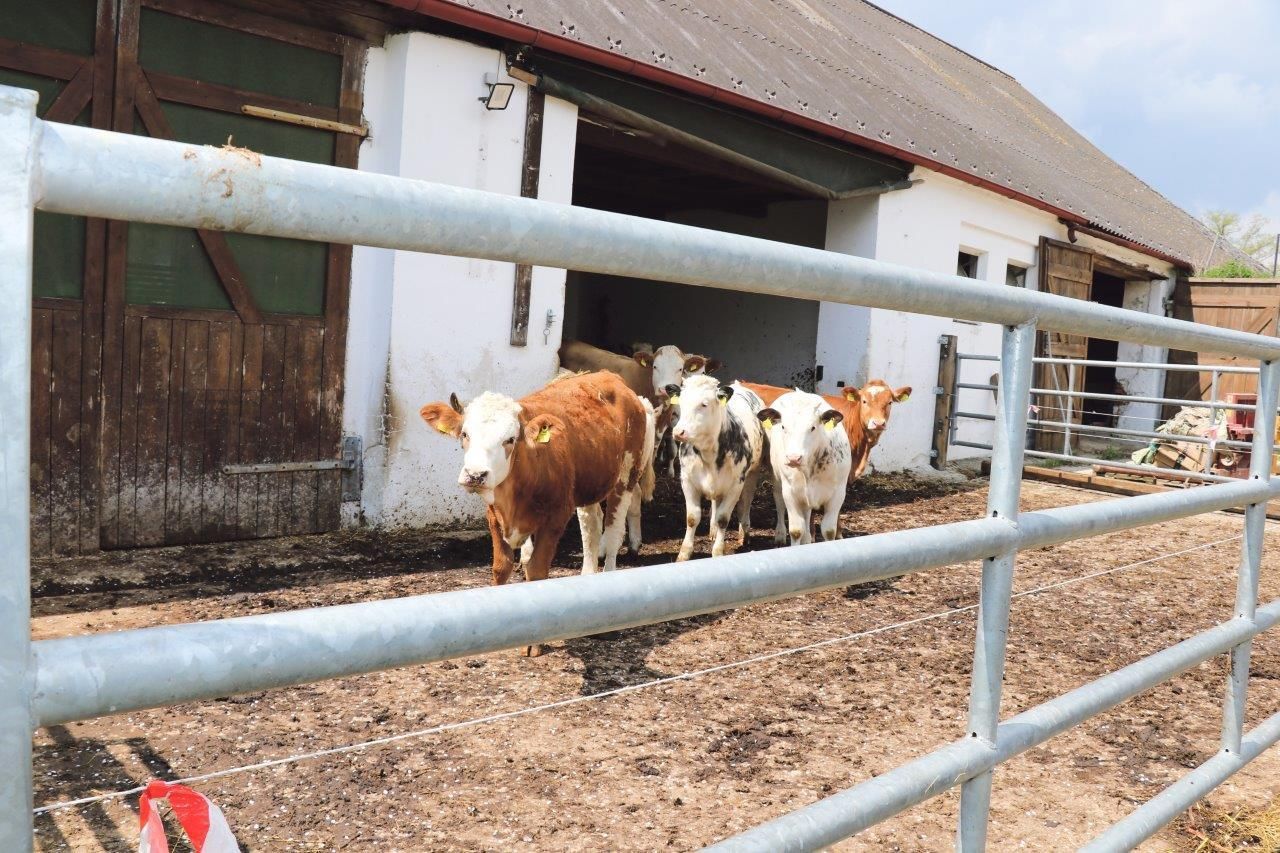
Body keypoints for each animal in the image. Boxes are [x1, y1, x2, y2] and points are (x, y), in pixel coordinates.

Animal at [419, 368, 655, 601]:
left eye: (510, 439)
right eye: (465, 434)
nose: (475, 475)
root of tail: (612, 377)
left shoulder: (556, 518)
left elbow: (537, 570)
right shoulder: (494, 516)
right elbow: (501, 568)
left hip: (626, 475)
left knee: (614, 531)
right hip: (590, 481)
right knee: (591, 528)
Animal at [665, 371, 762, 558]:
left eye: (704, 404)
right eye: (681, 402)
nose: (679, 432)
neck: (709, 454)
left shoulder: (735, 485)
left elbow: (723, 518)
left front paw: (718, 551)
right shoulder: (687, 480)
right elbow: (692, 517)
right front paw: (684, 553)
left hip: (752, 474)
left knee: (746, 502)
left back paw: (744, 532)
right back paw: (713, 530)